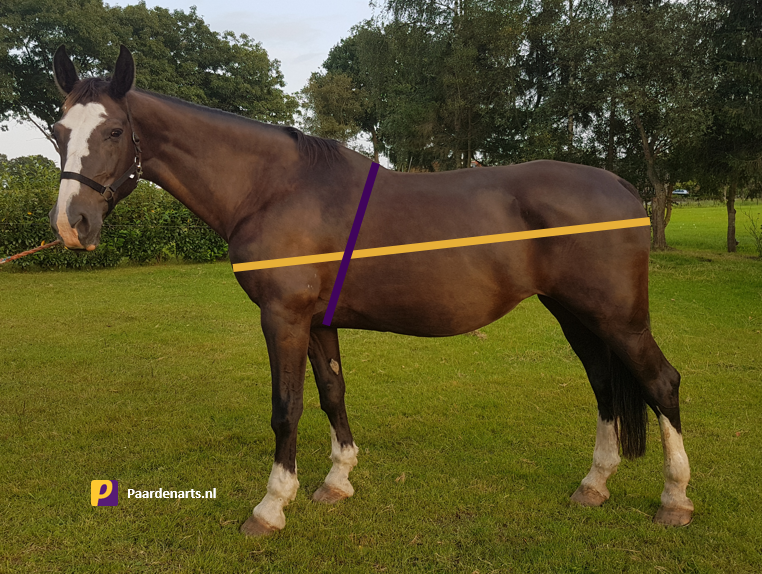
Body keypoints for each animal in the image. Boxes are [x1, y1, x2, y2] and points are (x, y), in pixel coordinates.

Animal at [48, 45, 693, 536]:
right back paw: (594, 485)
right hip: (576, 315)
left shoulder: (283, 316)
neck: (274, 187)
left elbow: (286, 408)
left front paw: (271, 507)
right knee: (605, 386)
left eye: (114, 129)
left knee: (661, 383)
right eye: (57, 131)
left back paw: (675, 499)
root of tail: (622, 186)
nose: (72, 225)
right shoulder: (318, 321)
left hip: (619, 319)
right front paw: (337, 481)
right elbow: (332, 394)